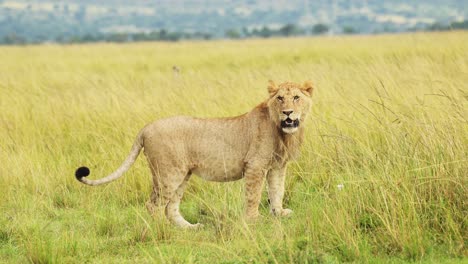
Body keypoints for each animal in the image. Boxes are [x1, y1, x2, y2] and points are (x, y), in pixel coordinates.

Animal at [76, 80, 314, 227]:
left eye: (296, 97)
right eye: (280, 98)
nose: (287, 113)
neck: (282, 131)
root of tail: (146, 127)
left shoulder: (277, 166)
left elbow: (277, 190)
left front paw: (279, 213)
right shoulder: (255, 165)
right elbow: (254, 195)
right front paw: (253, 219)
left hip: (182, 175)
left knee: (171, 207)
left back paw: (190, 228)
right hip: (168, 174)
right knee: (154, 205)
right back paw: (162, 230)